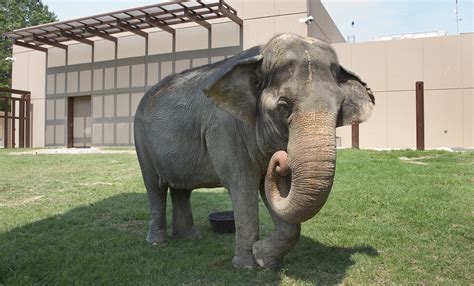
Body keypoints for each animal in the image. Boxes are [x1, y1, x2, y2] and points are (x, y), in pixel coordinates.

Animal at [133, 33, 374, 268]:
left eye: (340, 107)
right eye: (284, 106)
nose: (281, 159)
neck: (259, 56)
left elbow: (277, 192)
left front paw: (264, 259)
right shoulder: (225, 130)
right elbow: (243, 186)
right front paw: (246, 266)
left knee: (181, 189)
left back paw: (191, 237)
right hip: (141, 141)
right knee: (155, 187)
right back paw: (158, 242)